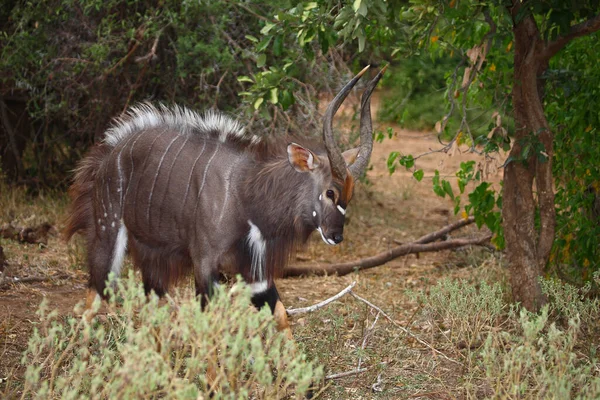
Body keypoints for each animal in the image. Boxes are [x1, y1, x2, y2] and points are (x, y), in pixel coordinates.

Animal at [64, 66, 384, 334]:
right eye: (330, 192)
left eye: (350, 195)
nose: (336, 236)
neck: (246, 192)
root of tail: (107, 156)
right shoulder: (205, 264)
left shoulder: (255, 272)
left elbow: (280, 314)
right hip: (108, 233)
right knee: (94, 297)